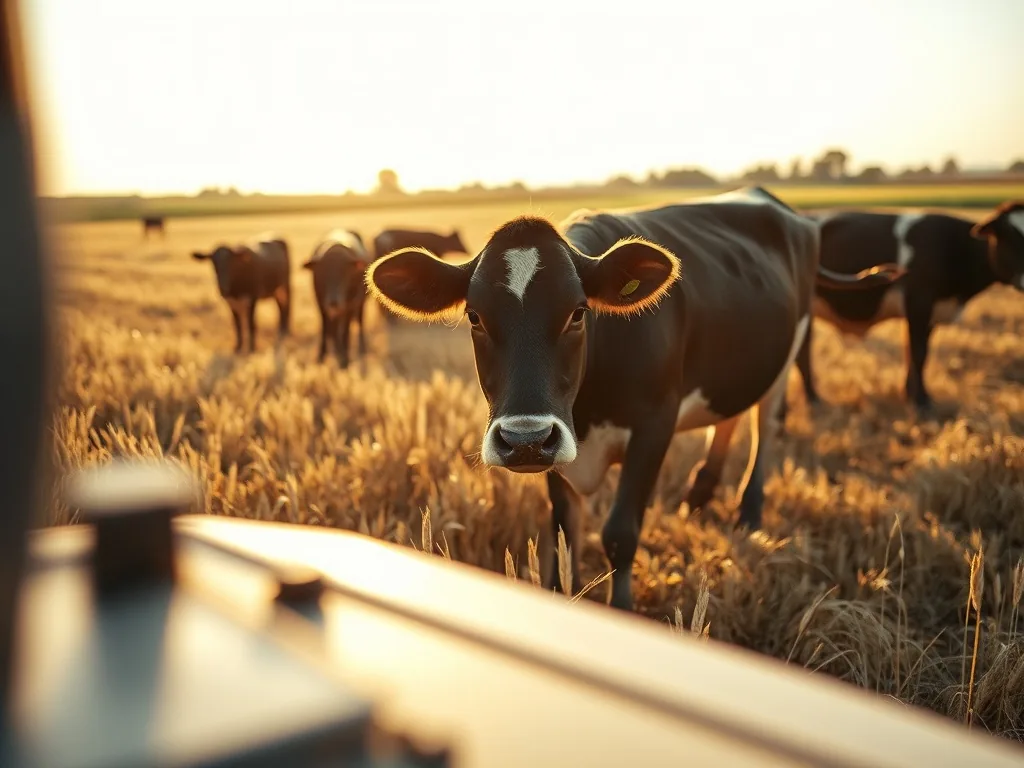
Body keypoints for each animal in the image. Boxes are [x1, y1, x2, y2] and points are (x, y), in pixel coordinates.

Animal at [303, 229, 371, 366]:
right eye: (322, 271)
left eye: (345, 272)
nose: (333, 302)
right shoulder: (321, 303)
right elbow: (326, 328)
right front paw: (322, 356)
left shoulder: (350, 305)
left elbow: (345, 330)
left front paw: (345, 359)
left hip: (359, 305)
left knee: (359, 322)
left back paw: (361, 349)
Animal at [365, 187, 905, 612]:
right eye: (474, 316)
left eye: (578, 312)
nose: (524, 439)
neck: (586, 409)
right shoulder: (559, 448)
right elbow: (564, 537)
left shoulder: (653, 426)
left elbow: (619, 534)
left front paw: (623, 612)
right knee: (727, 417)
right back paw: (700, 493)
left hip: (787, 350)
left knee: (765, 427)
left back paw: (749, 511)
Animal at [780, 201, 1024, 419]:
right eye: (1010, 237)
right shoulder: (919, 304)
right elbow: (918, 354)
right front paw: (921, 403)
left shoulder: (928, 315)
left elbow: (914, 354)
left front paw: (913, 395)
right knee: (801, 353)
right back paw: (811, 400)